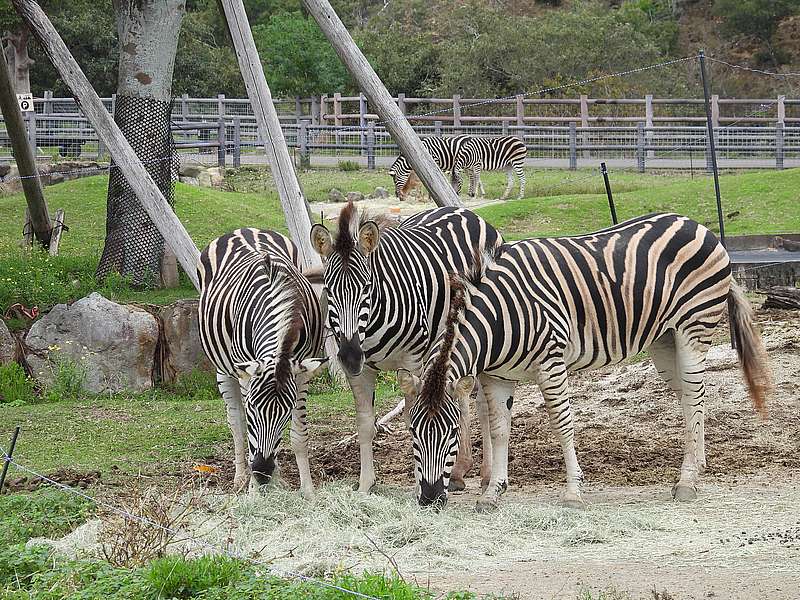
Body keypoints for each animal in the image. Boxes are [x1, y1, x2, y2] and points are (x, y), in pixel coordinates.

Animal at [198, 229, 326, 496]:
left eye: (285, 414)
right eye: (253, 410)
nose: (262, 472)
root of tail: (244, 229)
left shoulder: (302, 373)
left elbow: (299, 435)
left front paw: (307, 490)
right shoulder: (246, 374)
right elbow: (247, 432)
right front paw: (253, 492)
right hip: (223, 369)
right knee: (235, 422)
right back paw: (240, 478)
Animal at [310, 204, 504, 494]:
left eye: (367, 287)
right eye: (329, 290)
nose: (350, 356)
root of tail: (466, 211)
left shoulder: (411, 360)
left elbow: (412, 419)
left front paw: (417, 487)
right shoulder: (361, 370)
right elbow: (365, 424)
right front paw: (365, 486)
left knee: (481, 403)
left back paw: (486, 474)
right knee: (461, 400)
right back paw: (459, 471)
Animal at [404, 213, 772, 508]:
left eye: (452, 433)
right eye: (412, 431)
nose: (430, 499)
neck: (498, 318)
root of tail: (698, 225)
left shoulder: (551, 364)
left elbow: (562, 424)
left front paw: (573, 493)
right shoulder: (498, 377)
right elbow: (499, 431)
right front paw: (493, 493)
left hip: (693, 328)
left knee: (695, 395)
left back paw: (687, 482)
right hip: (664, 340)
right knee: (690, 399)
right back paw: (698, 466)